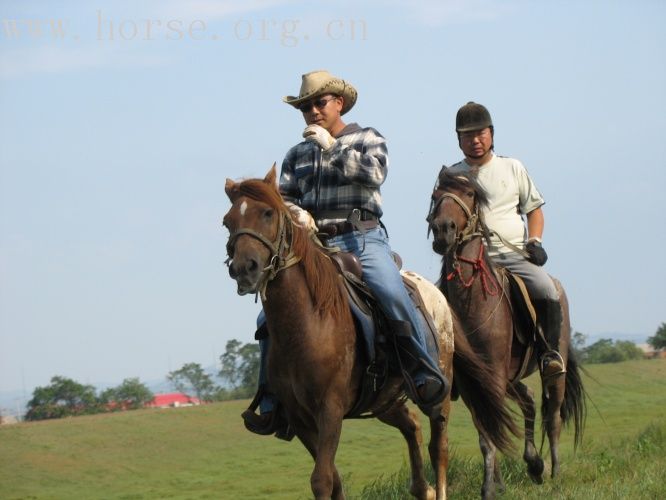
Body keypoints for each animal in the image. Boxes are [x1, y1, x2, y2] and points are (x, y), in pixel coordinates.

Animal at [223, 166, 520, 498]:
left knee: (438, 447)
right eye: (228, 221)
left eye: (267, 213)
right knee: (411, 426)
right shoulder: (300, 419)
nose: (244, 268)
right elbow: (334, 478)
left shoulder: (330, 410)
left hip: (438, 392)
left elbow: (322, 479)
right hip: (384, 400)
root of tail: (438, 295)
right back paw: (422, 488)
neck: (308, 324)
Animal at [428, 170, 584, 498]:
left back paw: (554, 471)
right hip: (510, 378)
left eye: (470, 193)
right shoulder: (474, 383)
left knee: (553, 416)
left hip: (555, 368)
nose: (443, 230)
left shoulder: (494, 376)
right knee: (529, 400)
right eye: (436, 196)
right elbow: (487, 431)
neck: (472, 301)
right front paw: (495, 483)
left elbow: (491, 433)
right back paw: (534, 465)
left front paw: (489, 487)